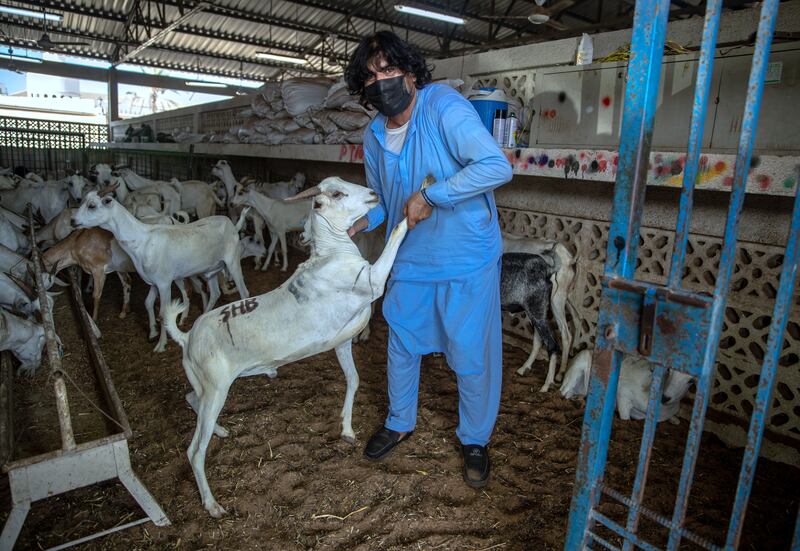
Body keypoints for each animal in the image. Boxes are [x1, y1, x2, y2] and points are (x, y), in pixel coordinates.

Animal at [75, 192, 252, 352]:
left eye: (92, 205)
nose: (73, 220)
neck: (142, 240)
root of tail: (232, 225)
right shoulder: (154, 281)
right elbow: (148, 302)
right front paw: (152, 333)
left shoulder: (164, 283)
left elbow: (163, 314)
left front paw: (161, 345)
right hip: (211, 270)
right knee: (215, 292)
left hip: (232, 260)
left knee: (244, 291)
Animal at [159, 177, 422, 516]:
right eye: (337, 193)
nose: (374, 194)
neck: (332, 255)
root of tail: (187, 337)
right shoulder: (371, 283)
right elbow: (395, 237)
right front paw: (415, 204)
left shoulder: (342, 341)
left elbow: (353, 380)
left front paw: (347, 430)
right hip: (216, 386)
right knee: (194, 451)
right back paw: (212, 504)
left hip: (204, 385)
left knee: (191, 399)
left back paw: (220, 430)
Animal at [556, 352, 692, 424]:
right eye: (668, 370)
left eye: (691, 381)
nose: (665, 397)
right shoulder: (623, 394)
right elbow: (625, 417)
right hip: (575, 372)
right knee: (564, 392)